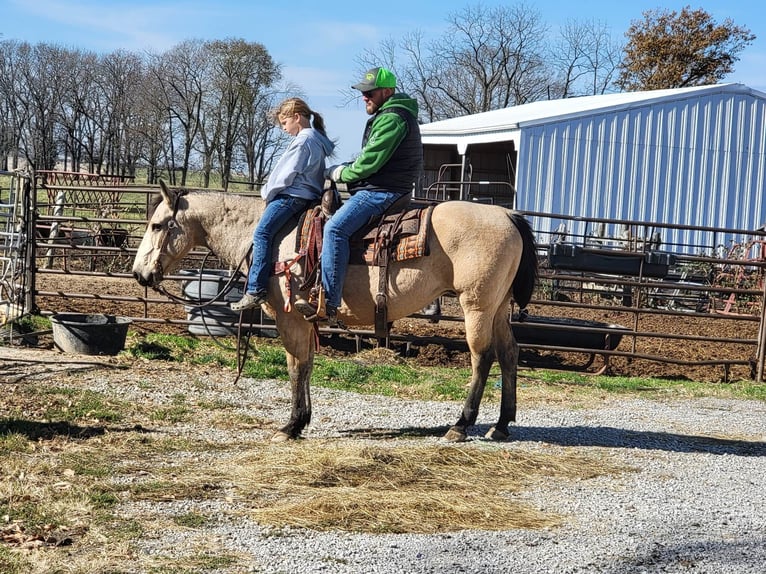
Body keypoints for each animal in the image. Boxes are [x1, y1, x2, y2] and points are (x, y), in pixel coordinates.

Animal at [132, 182, 540, 444]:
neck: (271, 237)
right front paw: (303, 420)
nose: (139, 274)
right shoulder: (305, 321)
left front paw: (292, 425)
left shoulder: (290, 318)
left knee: (482, 357)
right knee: (509, 353)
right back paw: (501, 424)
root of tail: (508, 215)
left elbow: (296, 367)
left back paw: (460, 425)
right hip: (498, 308)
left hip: (477, 305)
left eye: (157, 224)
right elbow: (307, 366)